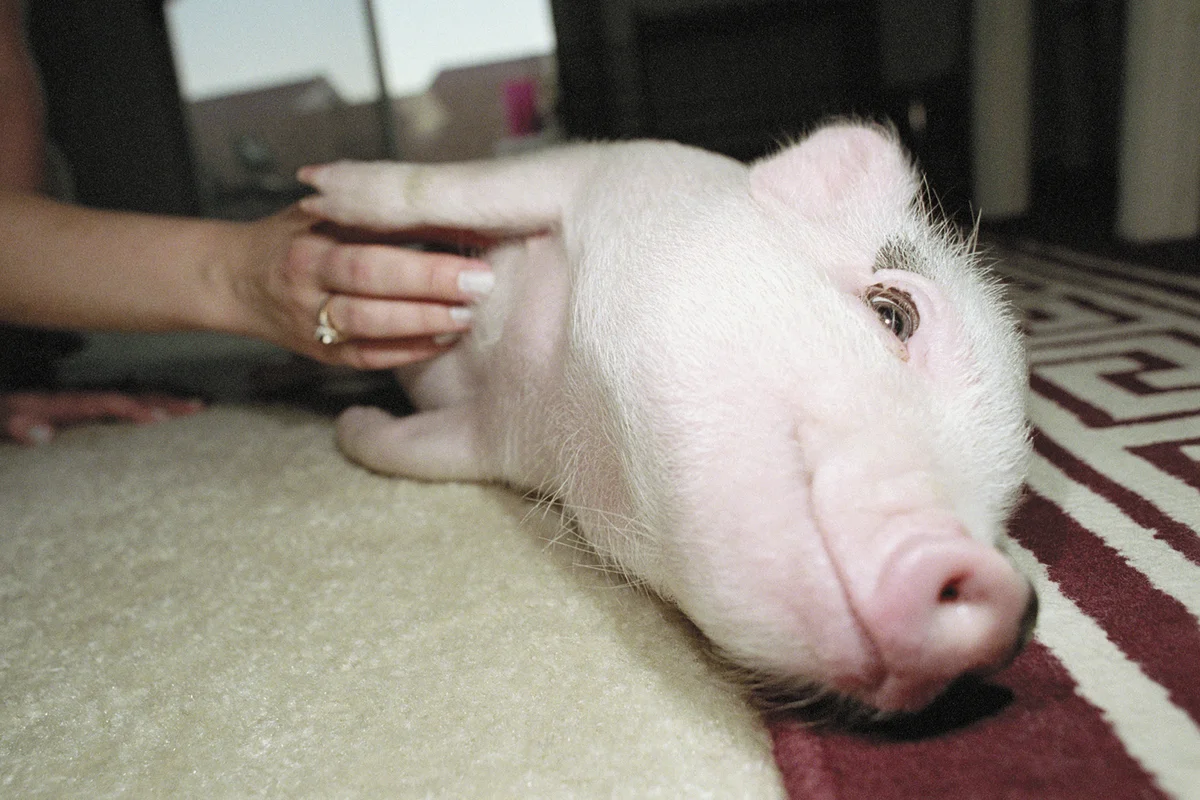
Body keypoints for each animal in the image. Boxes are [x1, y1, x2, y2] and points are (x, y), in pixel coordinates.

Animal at [297, 121, 1037, 721]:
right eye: (893, 313)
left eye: (1004, 509)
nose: (1014, 602)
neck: (557, 377)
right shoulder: (593, 167)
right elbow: (446, 187)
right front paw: (315, 191)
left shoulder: (491, 437)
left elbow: (407, 449)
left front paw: (351, 427)